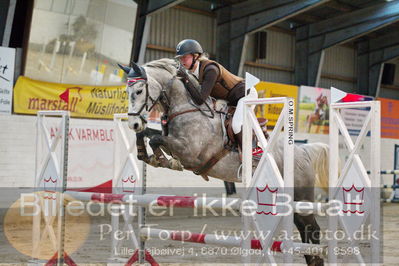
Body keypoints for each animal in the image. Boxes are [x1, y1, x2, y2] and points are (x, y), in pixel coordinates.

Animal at [118, 58, 328, 266]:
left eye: (139, 91)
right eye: (127, 92)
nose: (133, 123)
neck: (185, 106)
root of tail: (302, 152)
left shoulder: (190, 152)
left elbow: (156, 140)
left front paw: (163, 160)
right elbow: (149, 135)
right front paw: (146, 154)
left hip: (300, 196)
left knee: (313, 228)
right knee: (304, 228)